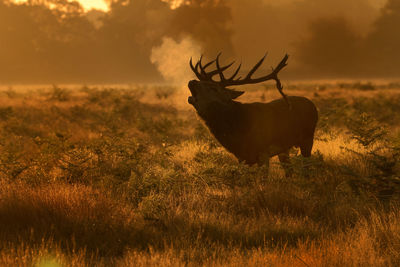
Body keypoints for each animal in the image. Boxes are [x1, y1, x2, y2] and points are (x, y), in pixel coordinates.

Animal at [188, 53, 318, 177]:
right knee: (289, 171)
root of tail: (313, 105)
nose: (192, 81)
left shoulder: (263, 152)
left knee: (306, 168)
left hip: (308, 138)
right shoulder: (242, 158)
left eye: (213, 88)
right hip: (284, 148)